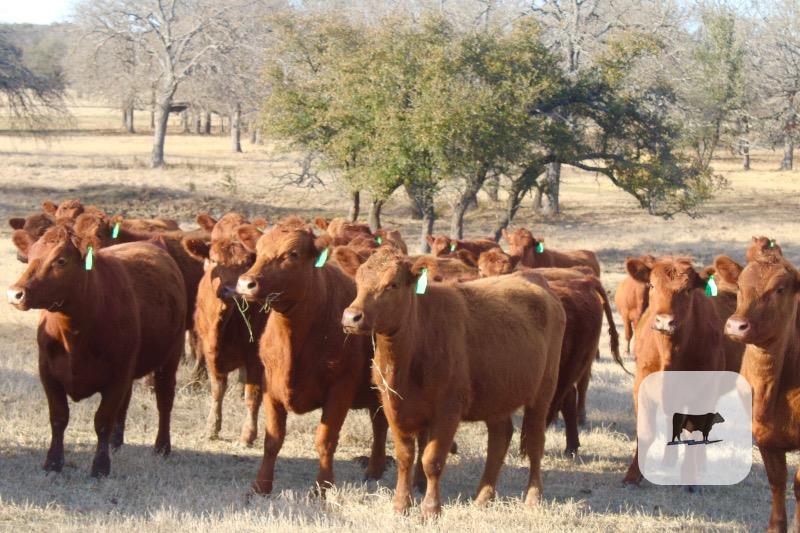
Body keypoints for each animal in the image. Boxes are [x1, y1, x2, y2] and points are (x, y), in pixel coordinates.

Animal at [7, 222, 186, 477]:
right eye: (30, 256)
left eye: (61, 260)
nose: (15, 293)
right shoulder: (48, 372)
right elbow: (59, 417)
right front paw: (53, 462)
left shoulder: (117, 376)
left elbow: (102, 420)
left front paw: (100, 467)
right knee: (127, 401)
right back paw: (116, 442)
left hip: (169, 358)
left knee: (165, 400)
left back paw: (162, 447)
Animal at [182, 213, 267, 445]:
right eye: (213, 260)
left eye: (246, 263)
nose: (229, 290)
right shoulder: (211, 350)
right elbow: (217, 389)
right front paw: (212, 428)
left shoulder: (255, 354)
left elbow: (253, 394)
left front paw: (248, 435)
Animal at [234, 219, 390, 495]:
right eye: (258, 250)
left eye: (292, 254)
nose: (245, 283)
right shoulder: (271, 384)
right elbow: (272, 440)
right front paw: (261, 485)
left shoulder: (341, 388)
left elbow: (325, 440)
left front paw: (323, 487)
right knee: (379, 422)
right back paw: (375, 469)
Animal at [341, 247, 566, 518]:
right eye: (358, 281)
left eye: (392, 284)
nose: (351, 317)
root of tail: (534, 279)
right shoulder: (391, 404)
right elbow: (405, 457)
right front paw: (400, 505)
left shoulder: (448, 410)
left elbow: (432, 460)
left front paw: (431, 509)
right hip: (497, 395)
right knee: (499, 439)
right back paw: (483, 498)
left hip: (543, 391)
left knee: (534, 442)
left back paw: (533, 498)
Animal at [621, 256, 727, 486]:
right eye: (652, 285)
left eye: (687, 290)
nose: (664, 321)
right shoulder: (641, 387)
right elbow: (646, 432)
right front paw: (633, 475)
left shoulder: (703, 392)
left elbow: (694, 435)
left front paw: (689, 477)